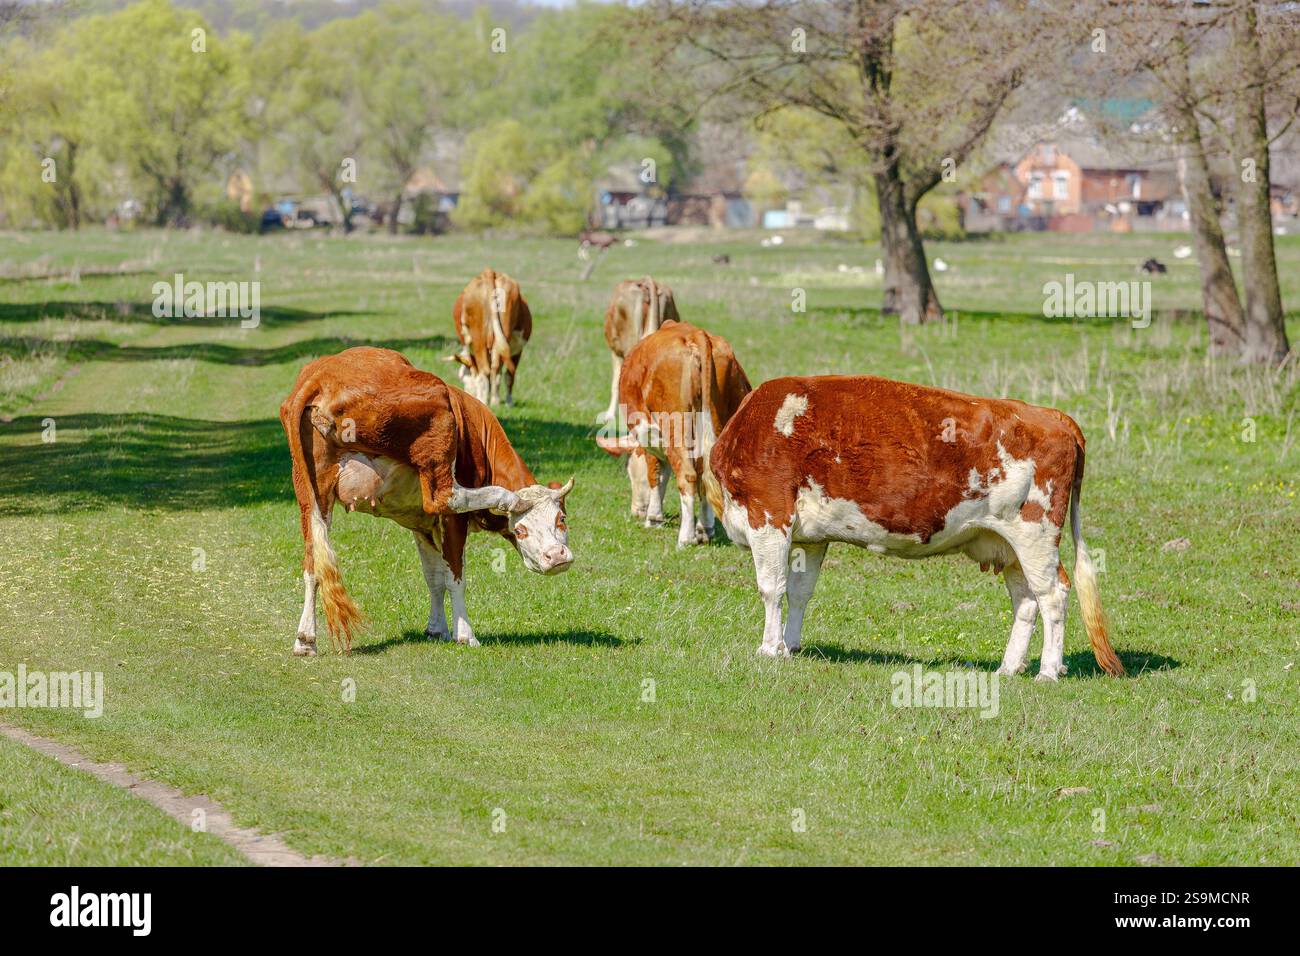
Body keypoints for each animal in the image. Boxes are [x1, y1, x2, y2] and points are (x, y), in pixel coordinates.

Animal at [279, 346, 573, 656]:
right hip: (440, 420)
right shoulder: (452, 520)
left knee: (313, 562)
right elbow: (454, 577)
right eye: (520, 530)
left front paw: (436, 628)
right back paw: (509, 498)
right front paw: (464, 634)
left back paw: (305, 639)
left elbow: (434, 577)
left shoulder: (421, 524)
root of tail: (322, 374)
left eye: (562, 519)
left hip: (311, 494)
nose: (556, 556)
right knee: (447, 496)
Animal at [451, 268, 532, 407]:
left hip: (479, 339)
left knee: (486, 371)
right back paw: (495, 401)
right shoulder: (518, 349)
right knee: (498, 370)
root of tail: (489, 272)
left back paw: (485, 400)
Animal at [597, 321, 750, 547]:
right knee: (707, 472)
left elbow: (656, 475)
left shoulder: (650, 436)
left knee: (688, 475)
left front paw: (653, 518)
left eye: (630, 472)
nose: (636, 511)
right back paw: (704, 529)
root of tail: (697, 335)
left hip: (675, 428)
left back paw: (685, 537)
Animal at [702, 375, 1124, 681]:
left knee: (1052, 594)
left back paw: (1048, 671)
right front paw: (790, 647)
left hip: (1035, 534)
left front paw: (769, 649)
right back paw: (1008, 668)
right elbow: (799, 592)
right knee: (1025, 601)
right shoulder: (811, 536)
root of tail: (1051, 415)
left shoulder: (768, 515)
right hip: (1008, 545)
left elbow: (771, 588)